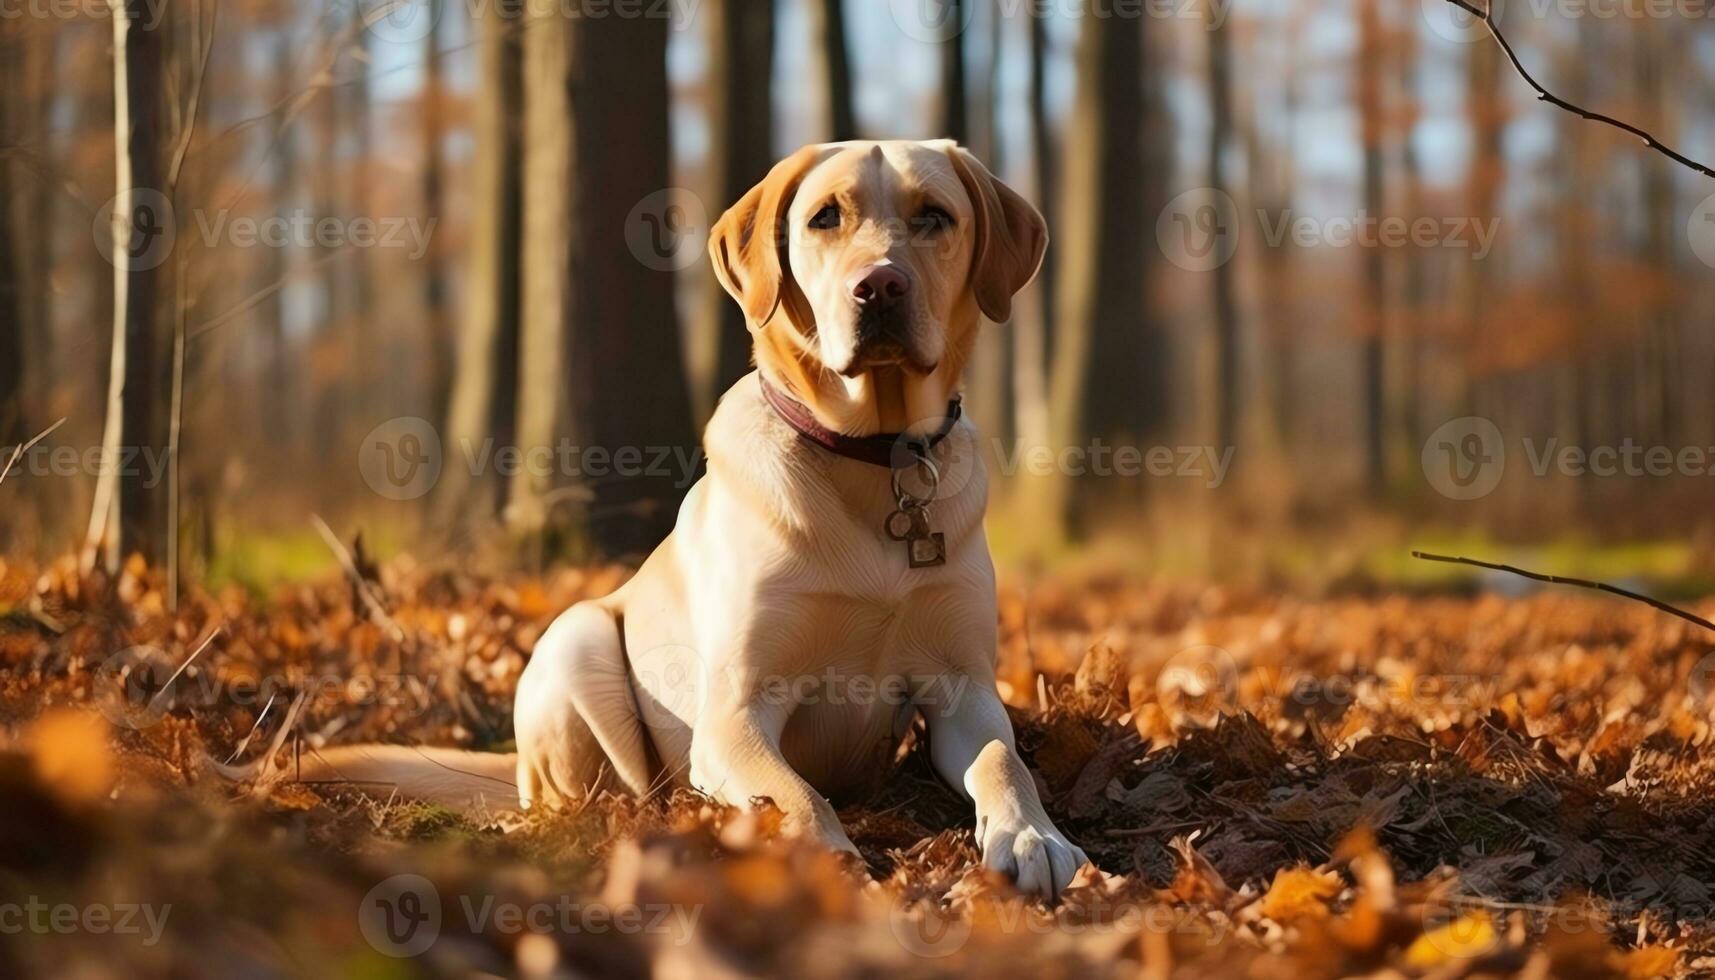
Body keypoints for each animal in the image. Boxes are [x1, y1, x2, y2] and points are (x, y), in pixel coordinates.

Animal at [308, 141, 1083, 899]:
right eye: (825, 218)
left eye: (933, 217)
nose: (881, 286)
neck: (874, 456)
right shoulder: (734, 712)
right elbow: (796, 797)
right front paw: (829, 865)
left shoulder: (963, 688)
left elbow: (1002, 762)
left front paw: (1032, 837)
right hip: (578, 638)